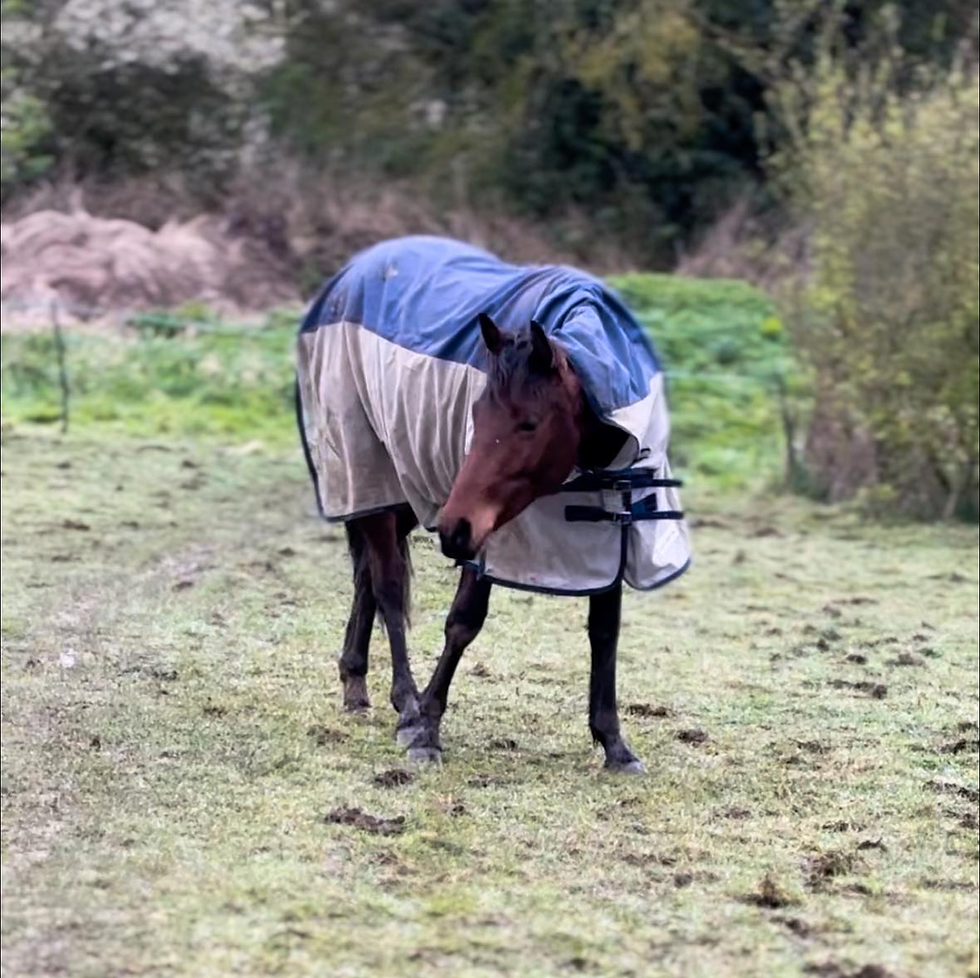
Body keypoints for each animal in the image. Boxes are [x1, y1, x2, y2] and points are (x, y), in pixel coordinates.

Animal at [296, 236, 689, 772]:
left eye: (529, 423)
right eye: (476, 414)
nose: (453, 528)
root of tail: (353, 271)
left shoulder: (613, 530)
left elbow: (605, 630)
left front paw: (614, 743)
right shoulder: (490, 537)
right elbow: (462, 622)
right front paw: (425, 730)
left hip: (401, 492)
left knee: (368, 578)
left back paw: (356, 683)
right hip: (370, 474)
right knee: (389, 587)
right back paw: (405, 701)